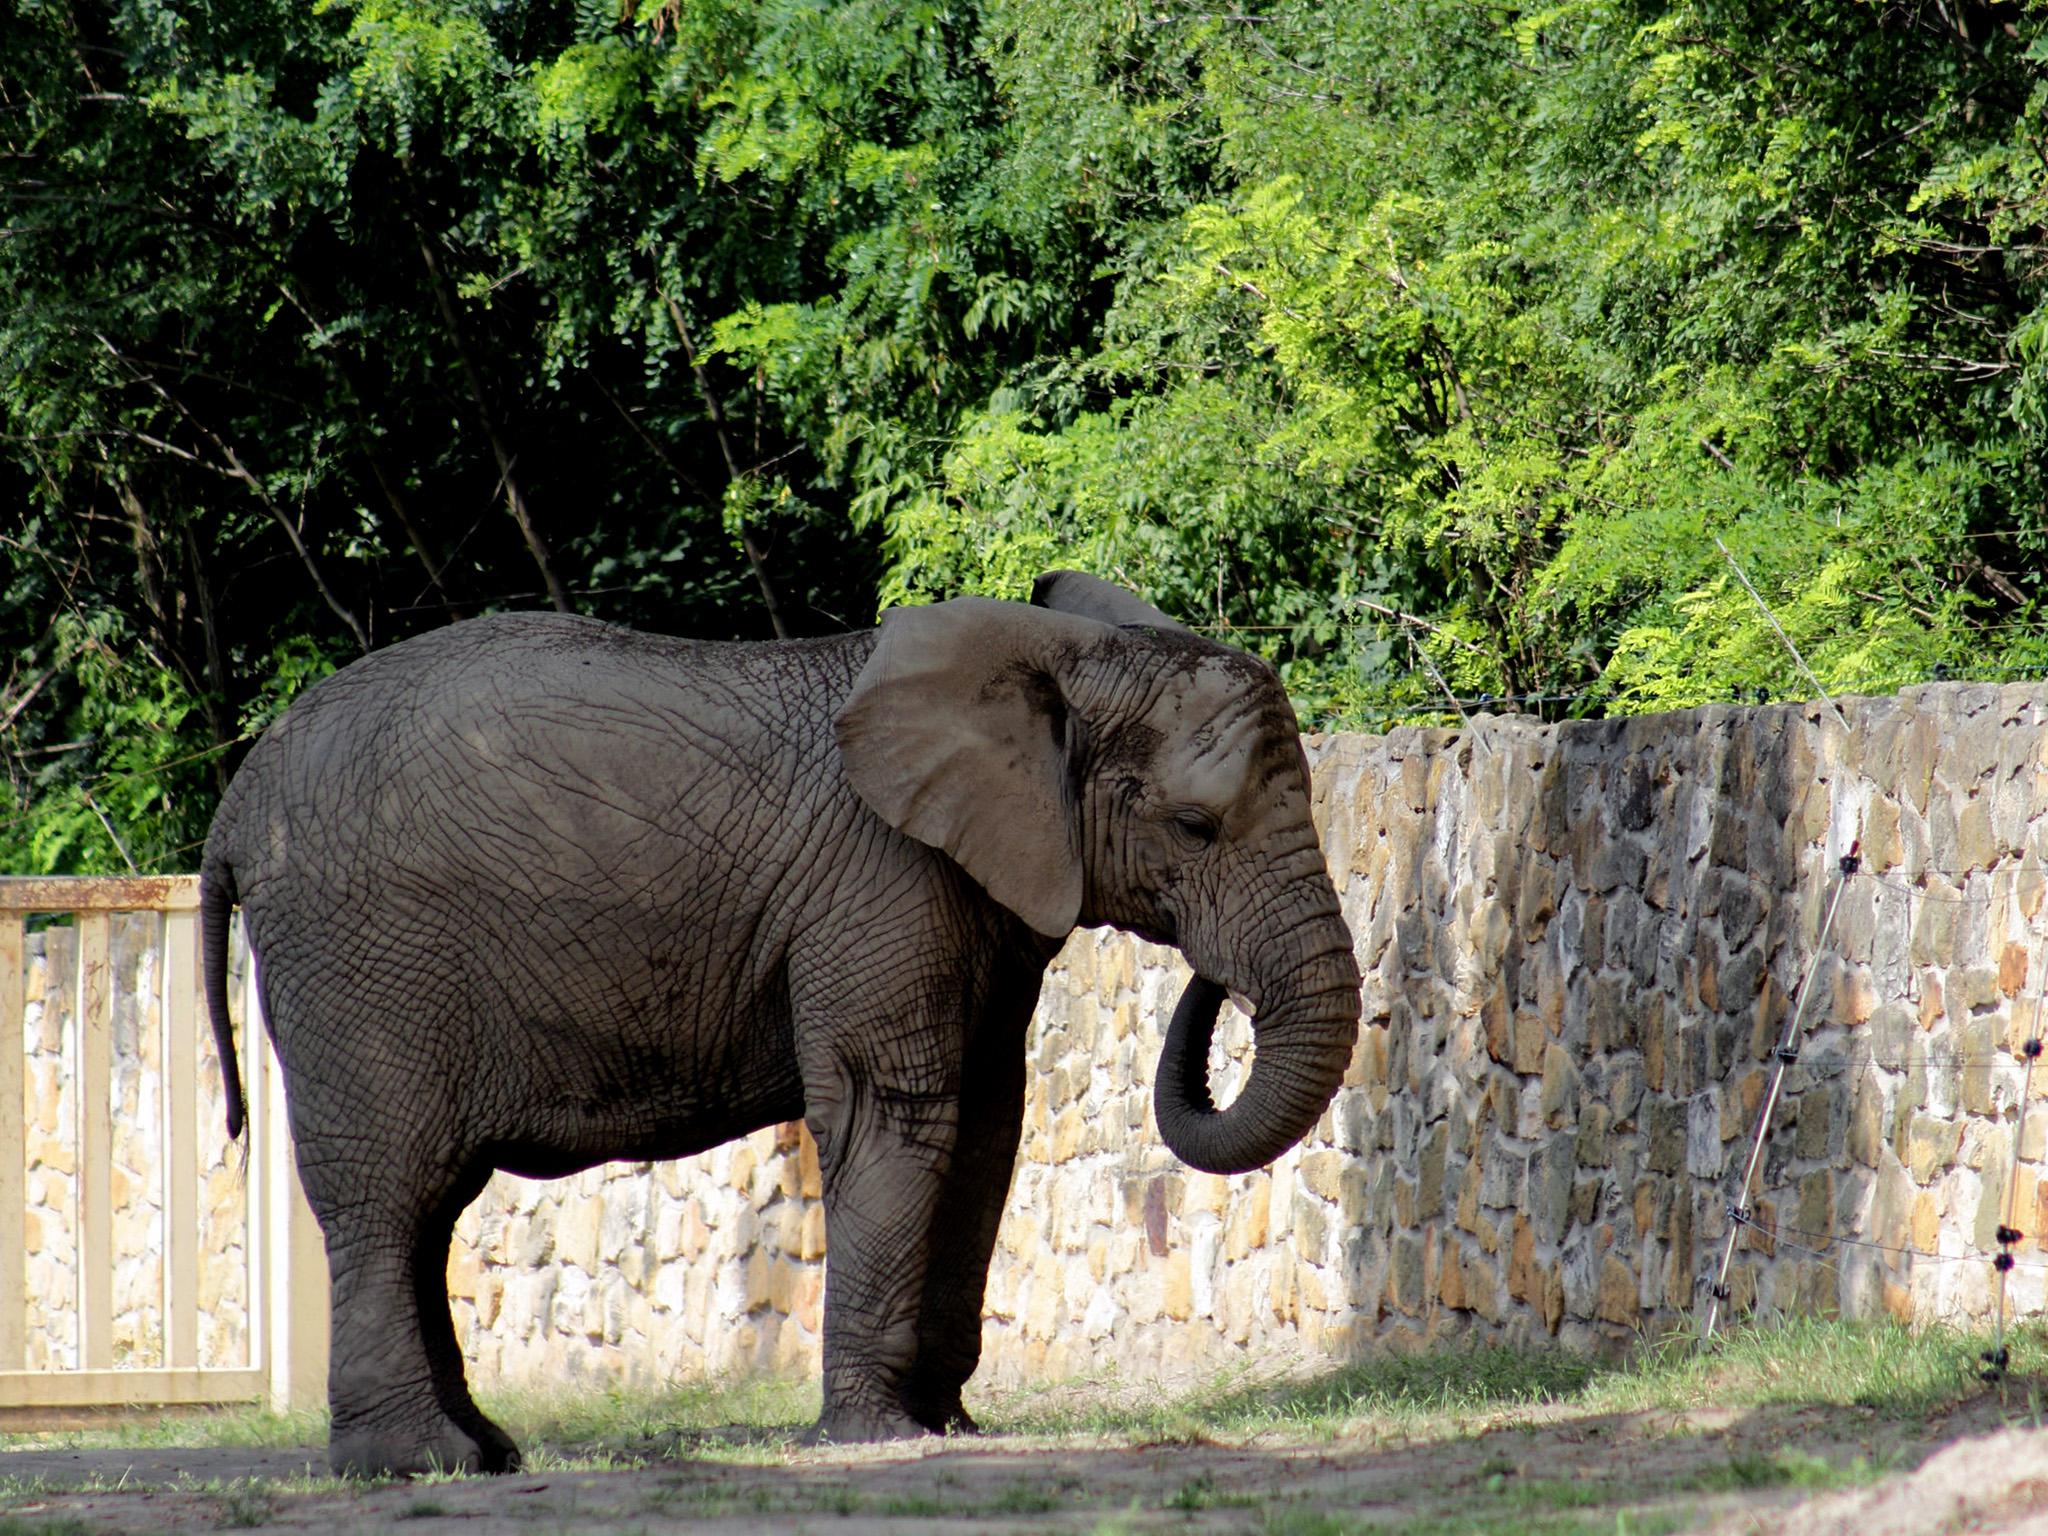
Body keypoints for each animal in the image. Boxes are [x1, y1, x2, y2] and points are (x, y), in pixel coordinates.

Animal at [199, 573, 1368, 1482]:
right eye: (1194, 827)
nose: (1212, 978)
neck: (1052, 661)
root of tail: (232, 807)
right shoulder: (882, 884)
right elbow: (896, 1114)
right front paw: (879, 1435)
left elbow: (988, 1126)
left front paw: (948, 1425)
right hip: (359, 959)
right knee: (391, 1192)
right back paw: (414, 1464)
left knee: (425, 1209)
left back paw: (483, 1454)